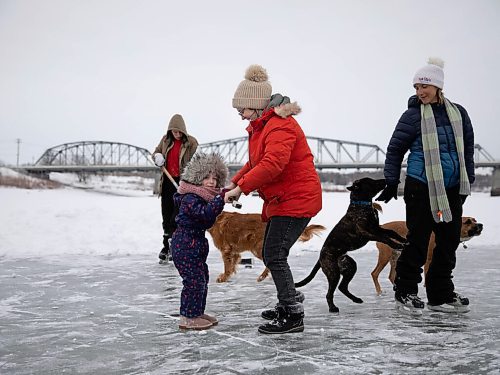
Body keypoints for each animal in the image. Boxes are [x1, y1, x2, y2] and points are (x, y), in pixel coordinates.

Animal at [294, 178, 408, 312]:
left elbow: (391, 232)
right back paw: (333, 308)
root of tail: (320, 258)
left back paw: (356, 299)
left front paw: (403, 240)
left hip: (350, 266)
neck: (361, 205)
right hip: (333, 273)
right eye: (370, 181)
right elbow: (385, 238)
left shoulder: (377, 229)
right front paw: (397, 245)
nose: (385, 180)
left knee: (342, 287)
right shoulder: (368, 233)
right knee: (330, 293)